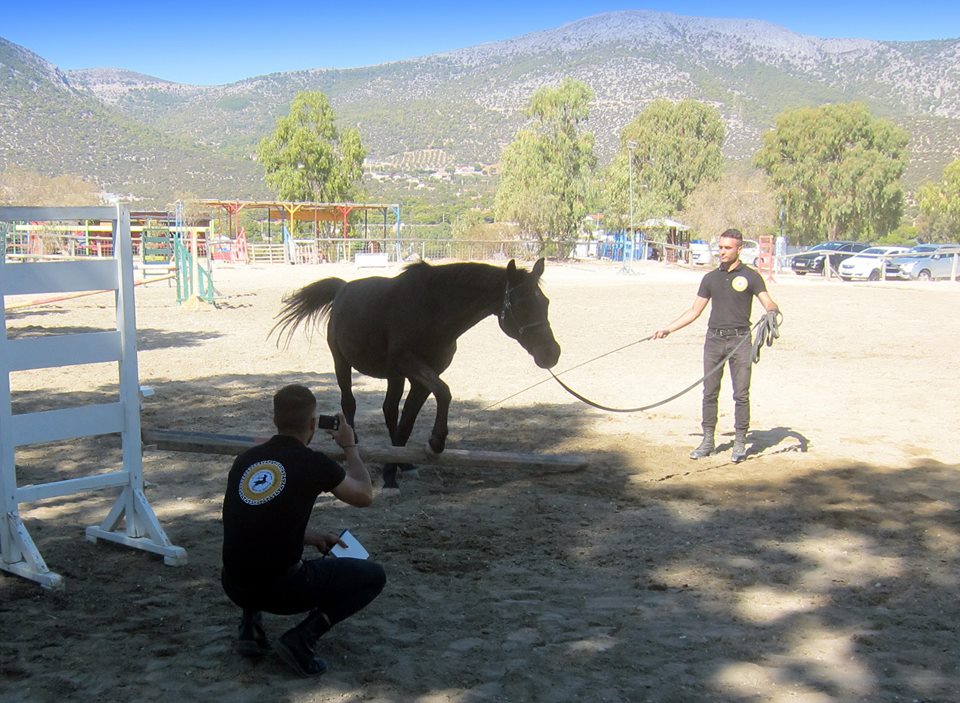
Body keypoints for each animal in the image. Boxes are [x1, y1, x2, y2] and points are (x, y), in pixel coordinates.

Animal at [272, 258, 561, 489]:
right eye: (521, 304)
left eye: (546, 302)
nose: (551, 353)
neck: (432, 309)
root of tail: (343, 288)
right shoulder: (410, 364)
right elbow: (444, 392)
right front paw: (436, 442)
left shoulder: (421, 376)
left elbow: (408, 420)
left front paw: (396, 469)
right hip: (342, 362)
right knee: (349, 402)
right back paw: (354, 443)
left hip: (394, 376)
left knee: (389, 410)